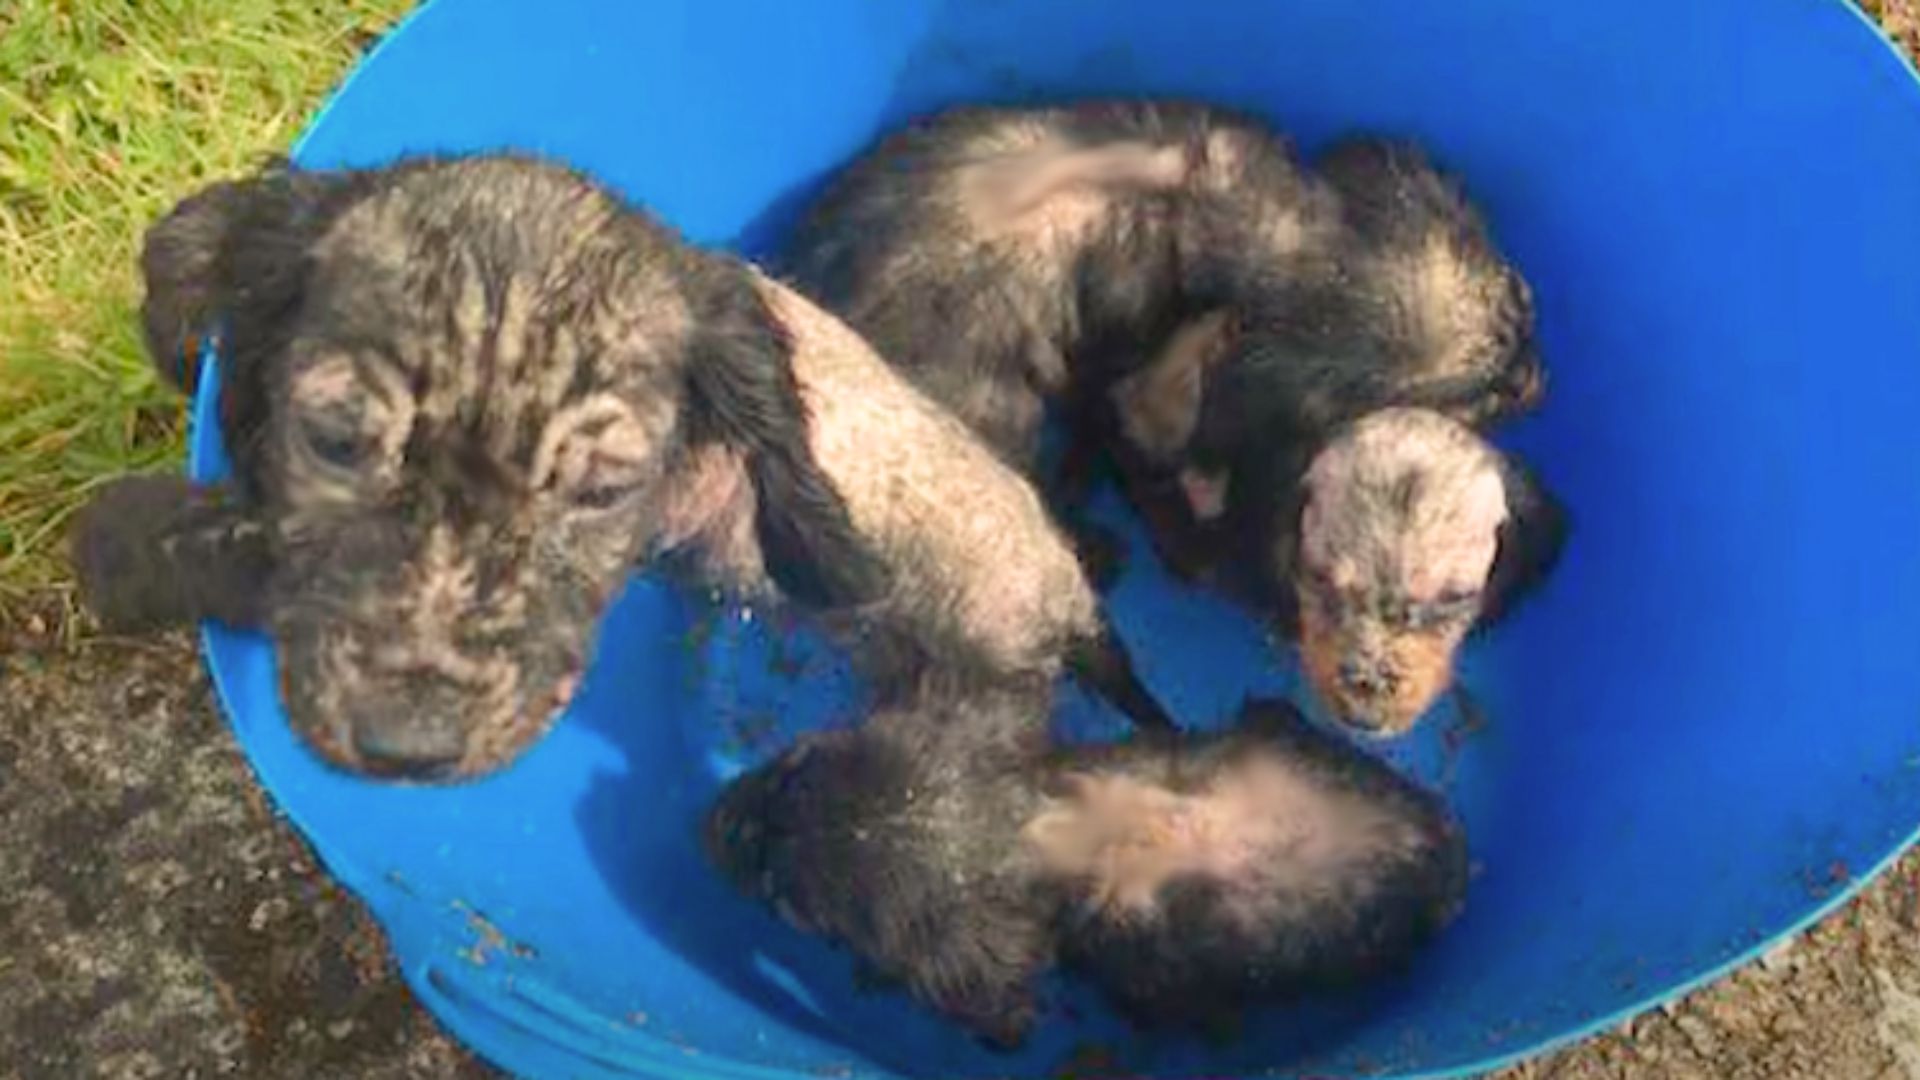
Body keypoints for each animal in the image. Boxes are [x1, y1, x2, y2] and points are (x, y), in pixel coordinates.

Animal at [74, 151, 1167, 776]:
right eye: (337, 442)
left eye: (602, 490)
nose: (406, 750)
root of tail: (1073, 606)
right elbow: (231, 229)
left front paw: (124, 542)